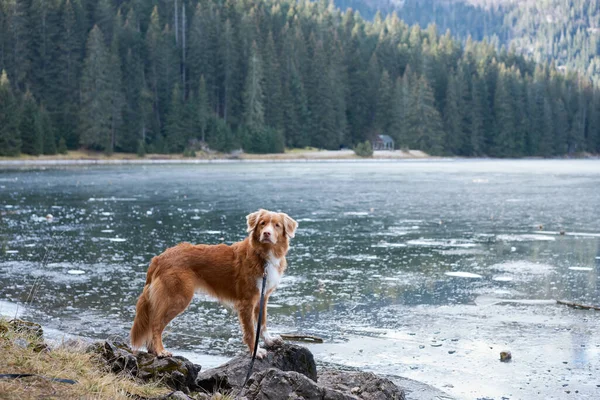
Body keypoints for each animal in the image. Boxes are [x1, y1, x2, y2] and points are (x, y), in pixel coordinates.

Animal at [129, 209, 298, 360]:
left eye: (277, 225)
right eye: (262, 224)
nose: (266, 233)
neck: (262, 255)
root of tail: (159, 258)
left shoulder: (262, 297)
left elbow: (262, 324)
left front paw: (269, 341)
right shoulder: (247, 302)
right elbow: (250, 331)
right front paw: (254, 352)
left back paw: (153, 349)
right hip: (177, 298)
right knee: (156, 325)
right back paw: (160, 350)